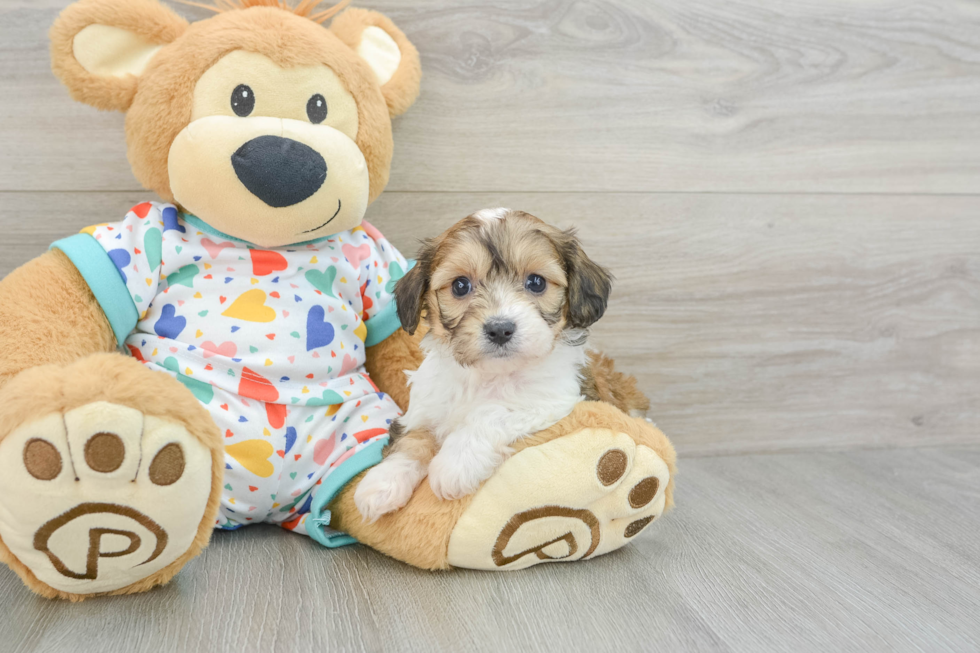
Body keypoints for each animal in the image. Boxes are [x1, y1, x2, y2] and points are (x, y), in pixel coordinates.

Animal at [352, 206, 612, 524]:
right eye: (460, 286)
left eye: (536, 282)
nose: (500, 329)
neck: (487, 375)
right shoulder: (424, 406)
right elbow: (412, 438)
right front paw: (382, 483)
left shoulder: (552, 398)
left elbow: (492, 413)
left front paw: (455, 464)